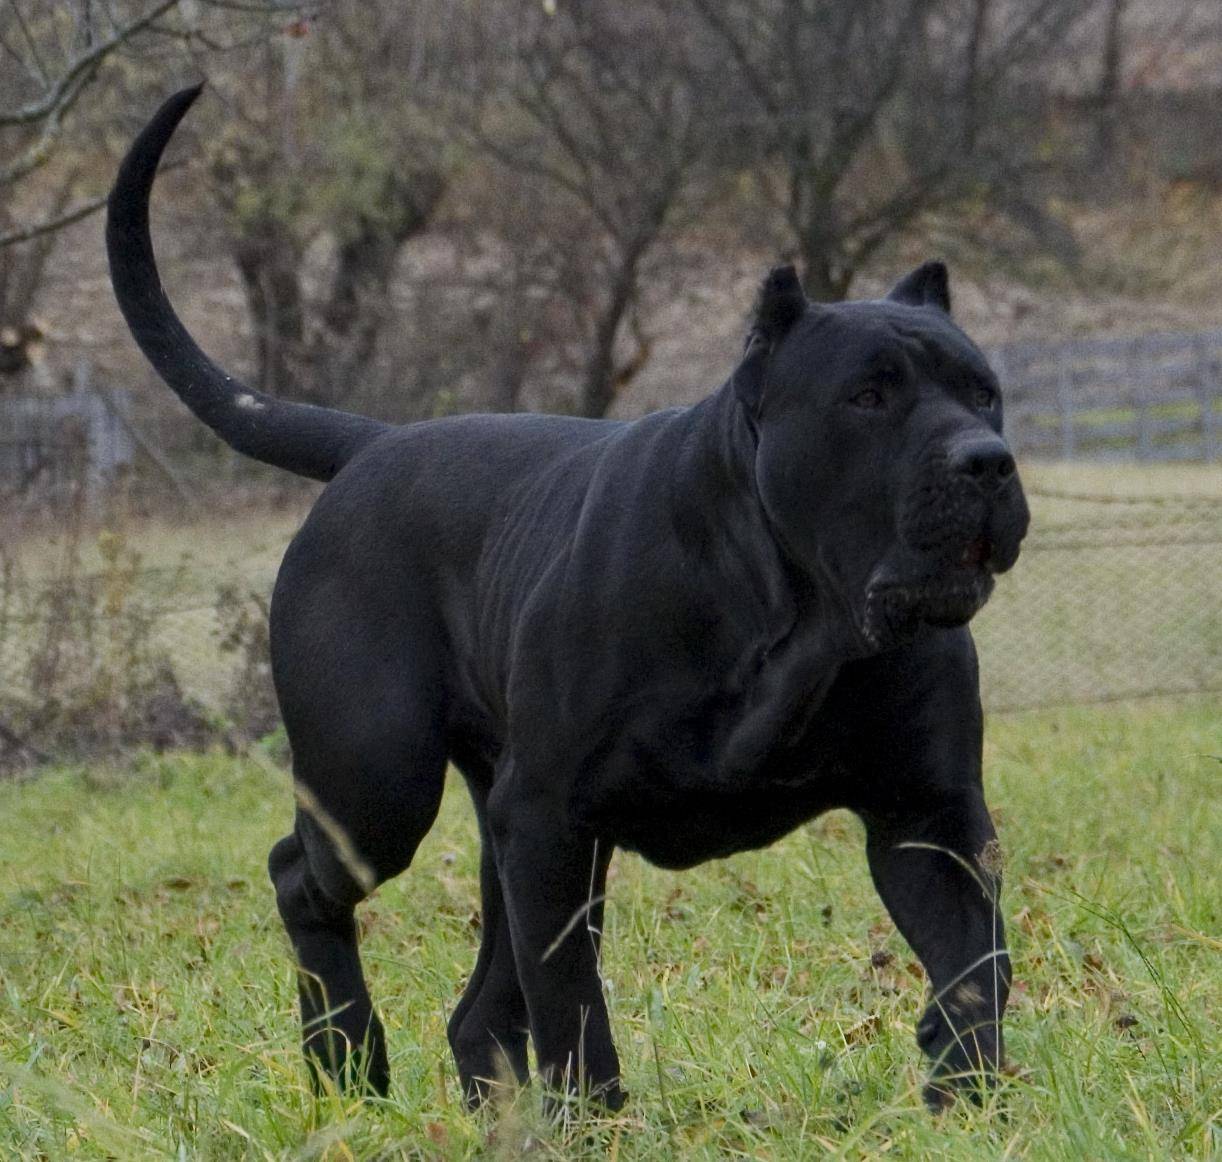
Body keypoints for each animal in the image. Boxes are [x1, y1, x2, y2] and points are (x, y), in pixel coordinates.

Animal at [109, 86, 1031, 1114]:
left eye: (984, 392)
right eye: (868, 397)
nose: (987, 461)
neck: (795, 622)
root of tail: (371, 446)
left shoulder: (929, 815)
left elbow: (975, 962)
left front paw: (967, 1091)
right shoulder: (551, 822)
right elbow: (573, 1004)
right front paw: (593, 1120)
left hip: (488, 823)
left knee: (477, 1008)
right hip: (378, 782)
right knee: (298, 878)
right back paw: (348, 1061)